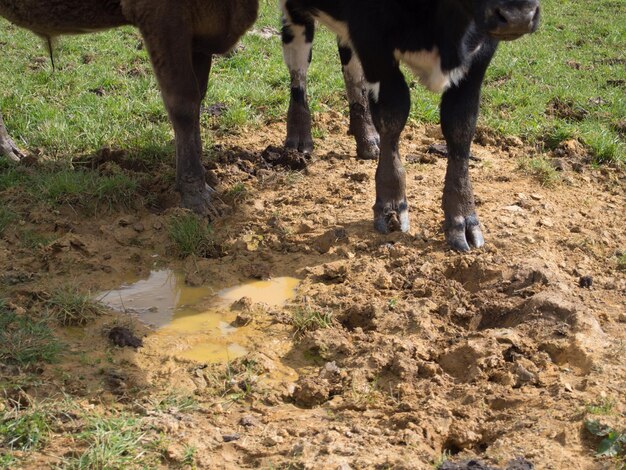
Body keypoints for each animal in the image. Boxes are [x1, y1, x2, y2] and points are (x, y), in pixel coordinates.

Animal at [280, 0, 540, 252]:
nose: (518, 17)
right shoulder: (373, 40)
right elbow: (393, 114)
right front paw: (392, 206)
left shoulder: (480, 55)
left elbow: (461, 127)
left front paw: (463, 217)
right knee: (298, 66)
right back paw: (299, 139)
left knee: (350, 67)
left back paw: (367, 138)